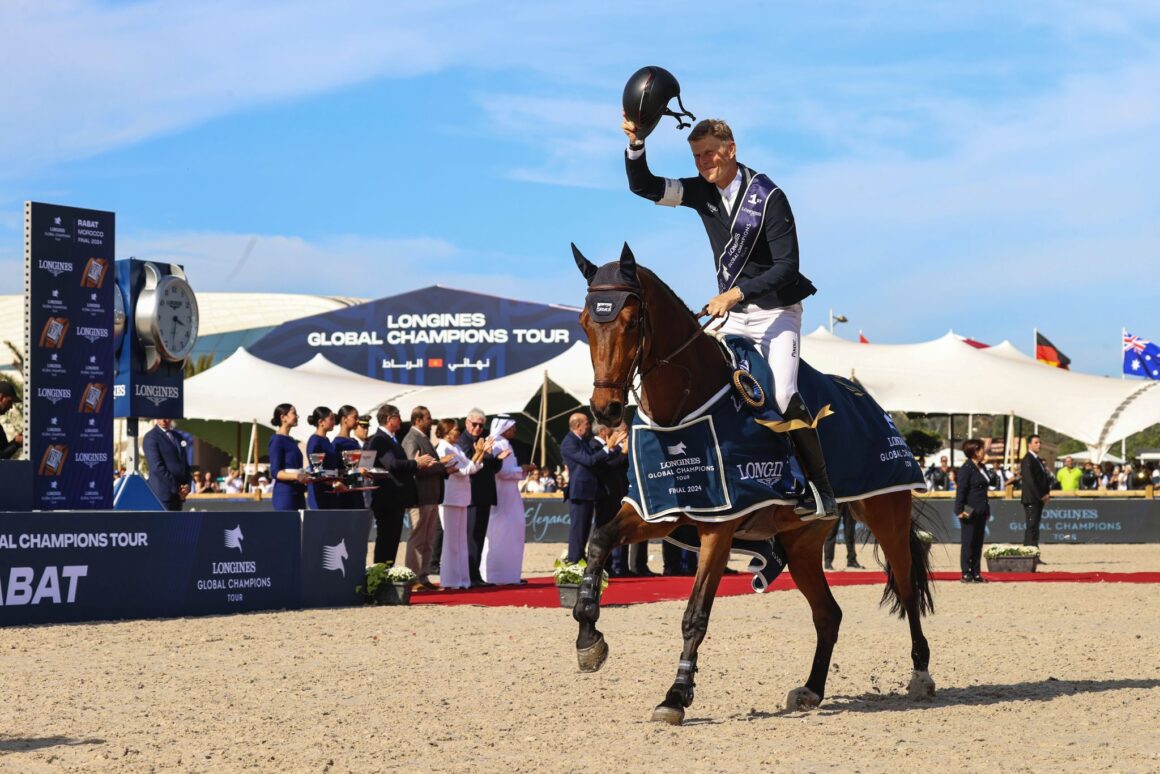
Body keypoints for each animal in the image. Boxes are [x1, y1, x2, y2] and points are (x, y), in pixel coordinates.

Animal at [570, 243, 932, 728]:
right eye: (585, 323)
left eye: (630, 321)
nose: (605, 410)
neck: (682, 404)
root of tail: (873, 405)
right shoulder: (661, 512)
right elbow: (598, 540)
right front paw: (588, 638)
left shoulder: (719, 526)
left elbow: (695, 615)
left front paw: (676, 695)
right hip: (801, 544)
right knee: (829, 614)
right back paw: (811, 690)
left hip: (886, 514)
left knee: (908, 590)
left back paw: (921, 675)